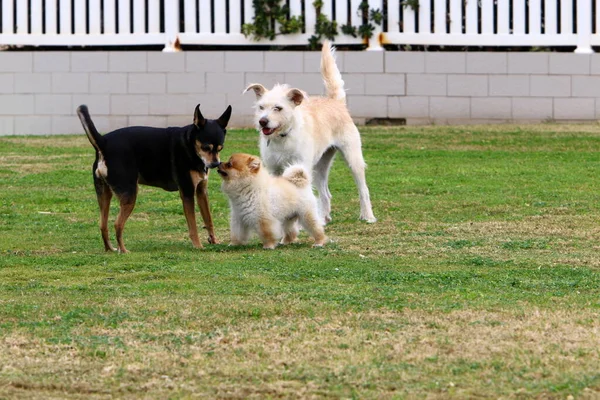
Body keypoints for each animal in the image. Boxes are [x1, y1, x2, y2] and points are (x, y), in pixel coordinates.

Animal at [77, 104, 232, 253]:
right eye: (206, 147)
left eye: (220, 148)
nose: (216, 164)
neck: (190, 145)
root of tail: (103, 142)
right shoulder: (187, 192)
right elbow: (193, 224)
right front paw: (198, 246)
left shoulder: (201, 191)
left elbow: (208, 219)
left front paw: (214, 240)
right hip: (129, 195)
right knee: (117, 224)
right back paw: (123, 250)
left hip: (104, 195)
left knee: (103, 225)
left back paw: (110, 249)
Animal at [243, 41, 376, 225]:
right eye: (261, 107)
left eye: (278, 108)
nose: (262, 121)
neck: (284, 137)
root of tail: (336, 102)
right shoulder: (274, 169)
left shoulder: (301, 167)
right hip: (320, 166)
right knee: (326, 194)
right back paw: (323, 218)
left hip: (353, 159)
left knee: (363, 190)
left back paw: (368, 215)